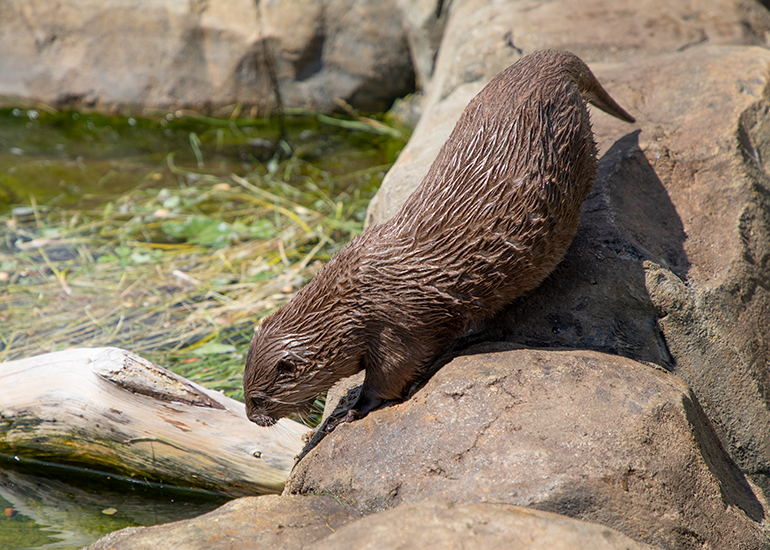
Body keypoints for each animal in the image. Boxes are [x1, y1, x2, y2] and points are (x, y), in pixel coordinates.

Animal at [243, 49, 635, 429]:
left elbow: (389, 375)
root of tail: (541, 64)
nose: (250, 417)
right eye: (247, 391)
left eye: (258, 398)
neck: (354, 303)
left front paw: (350, 410)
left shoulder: (397, 326)